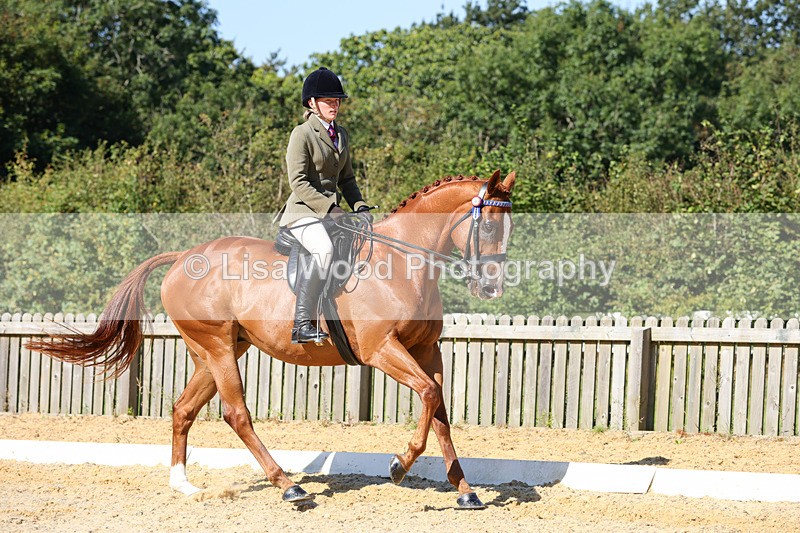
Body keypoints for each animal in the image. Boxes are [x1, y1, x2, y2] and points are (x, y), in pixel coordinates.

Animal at [27, 170, 516, 509]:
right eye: (490, 227)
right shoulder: (383, 351)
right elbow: (430, 396)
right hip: (218, 347)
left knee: (184, 409)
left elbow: (440, 412)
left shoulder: (426, 351)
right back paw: (288, 485)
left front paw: (466, 491)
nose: (492, 289)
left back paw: (184, 484)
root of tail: (184, 256)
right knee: (236, 413)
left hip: (216, 351)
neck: (402, 264)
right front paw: (398, 465)